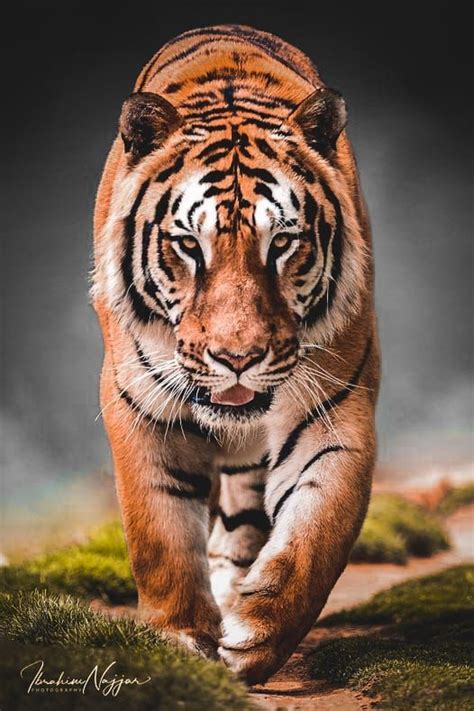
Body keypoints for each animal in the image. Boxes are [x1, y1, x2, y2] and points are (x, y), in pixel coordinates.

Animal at [92, 25, 380, 688]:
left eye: (283, 242)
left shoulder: (336, 409)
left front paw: (255, 635)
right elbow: (160, 537)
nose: (237, 358)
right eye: (187, 245)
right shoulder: (139, 407)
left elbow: (316, 533)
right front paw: (180, 643)